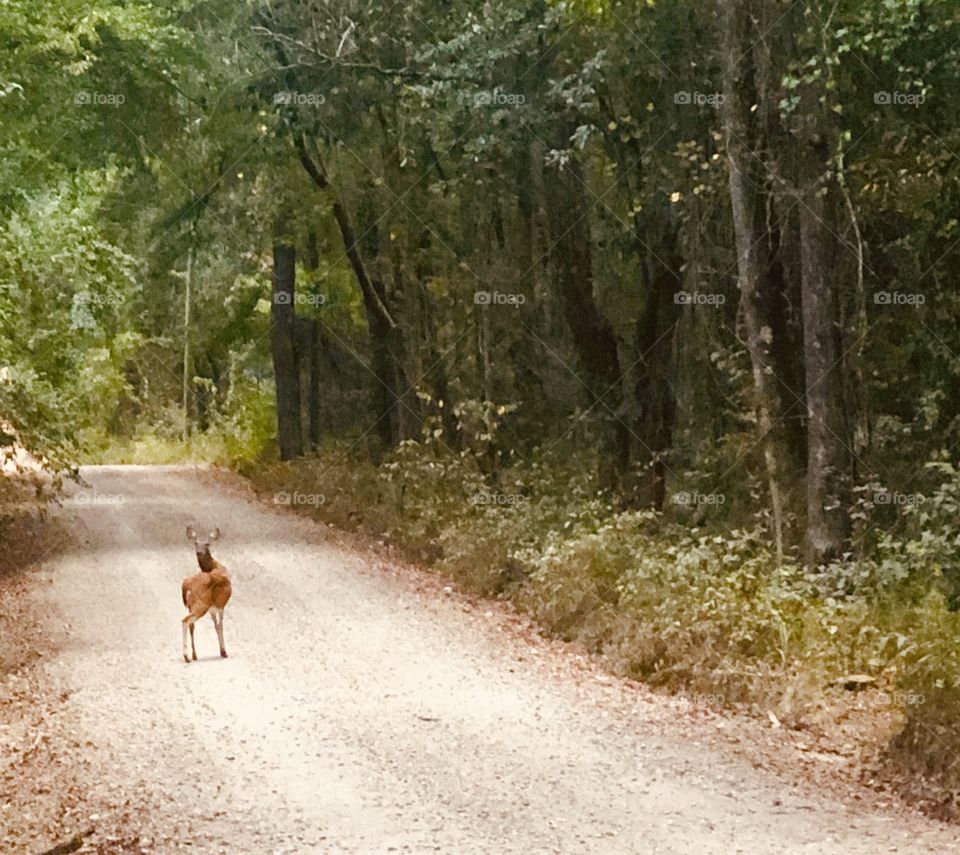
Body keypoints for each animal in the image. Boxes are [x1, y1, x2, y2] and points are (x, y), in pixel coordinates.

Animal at [181, 525, 232, 663]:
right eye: (196, 543)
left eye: (207, 544)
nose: (199, 552)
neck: (214, 566)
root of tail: (186, 584)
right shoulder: (220, 603)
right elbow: (220, 625)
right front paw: (224, 651)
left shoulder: (212, 607)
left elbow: (215, 625)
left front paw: (221, 650)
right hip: (201, 604)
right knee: (185, 621)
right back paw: (186, 656)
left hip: (192, 605)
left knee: (191, 625)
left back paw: (194, 655)